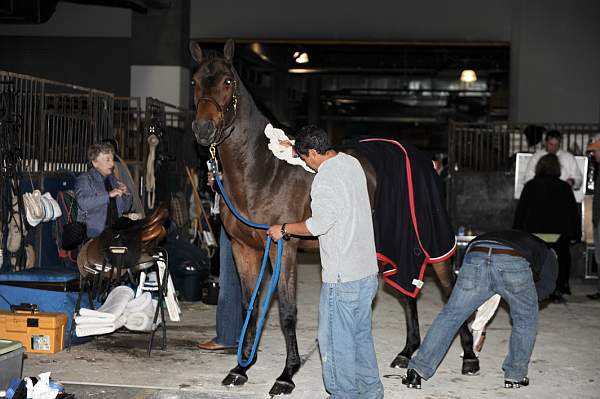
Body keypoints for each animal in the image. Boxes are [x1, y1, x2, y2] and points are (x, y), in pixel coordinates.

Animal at [188, 39, 478, 396]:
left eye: (228, 81)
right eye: (195, 81)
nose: (203, 129)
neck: (264, 172)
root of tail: (426, 160)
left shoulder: (285, 246)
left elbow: (287, 311)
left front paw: (286, 375)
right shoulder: (245, 249)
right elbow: (249, 306)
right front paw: (241, 367)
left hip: (431, 243)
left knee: (451, 291)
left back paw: (468, 357)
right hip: (392, 247)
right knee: (408, 294)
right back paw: (406, 354)